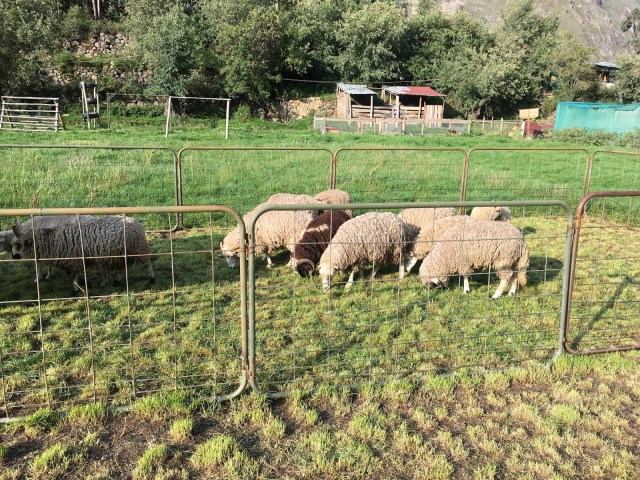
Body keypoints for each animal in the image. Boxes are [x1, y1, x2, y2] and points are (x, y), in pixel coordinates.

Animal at [11, 216, 155, 294]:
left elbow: (74, 277)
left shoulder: (74, 262)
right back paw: (116, 281)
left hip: (139, 248)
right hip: (123, 254)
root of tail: (135, 221)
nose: (13, 256)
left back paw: (152, 279)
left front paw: (75, 290)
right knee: (123, 267)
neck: (53, 242)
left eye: (19, 245)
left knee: (147, 264)